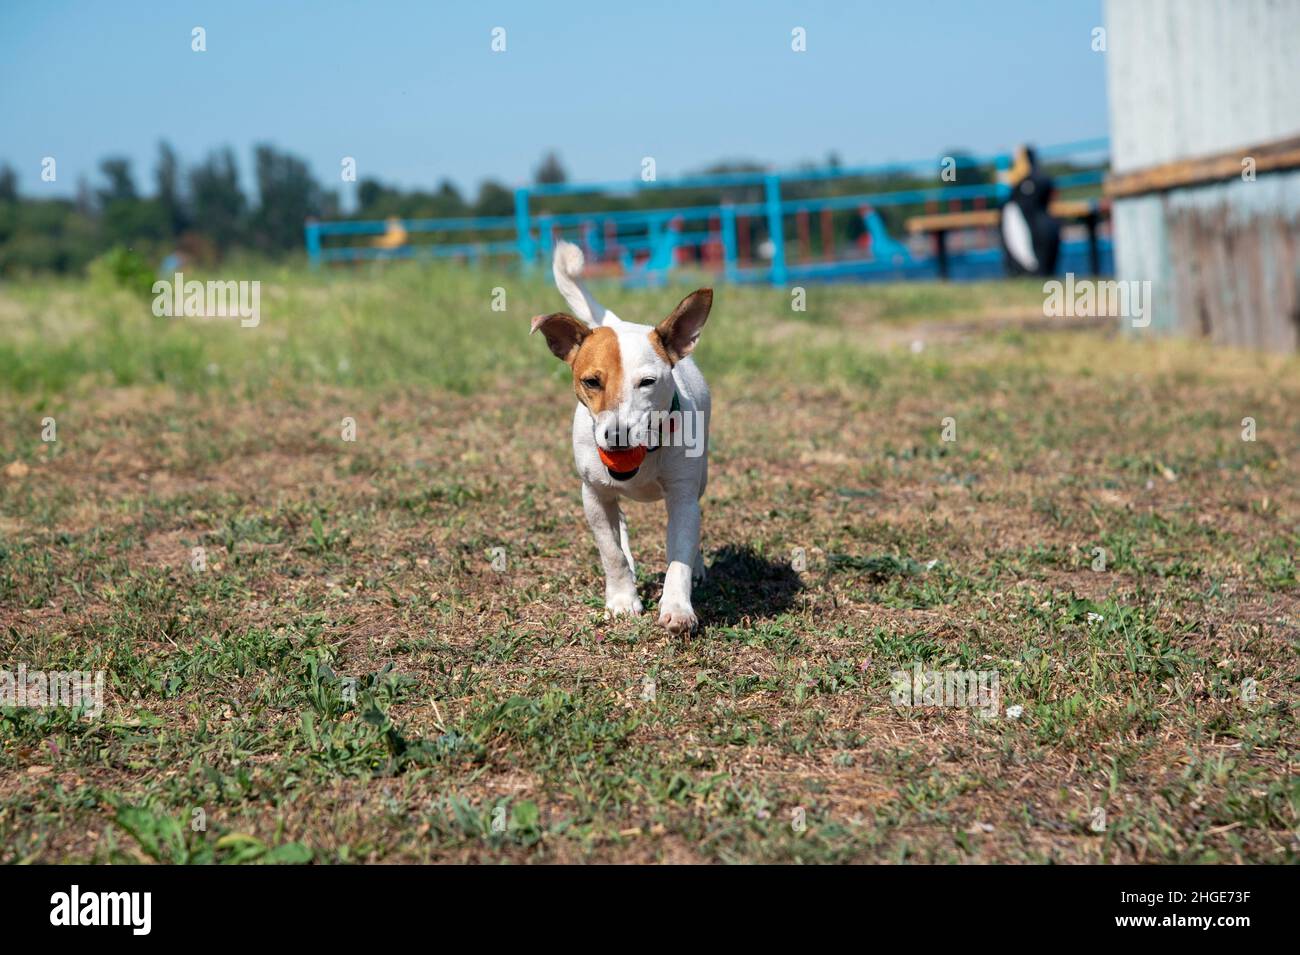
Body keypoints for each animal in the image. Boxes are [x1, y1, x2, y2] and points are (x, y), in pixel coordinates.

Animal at [527, 242, 712, 634]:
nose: (617, 434)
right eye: (591, 381)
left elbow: (679, 554)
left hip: (700, 480)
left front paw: (677, 608)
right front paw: (623, 600)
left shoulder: (683, 495)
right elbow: (610, 551)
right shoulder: (593, 495)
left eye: (648, 382)